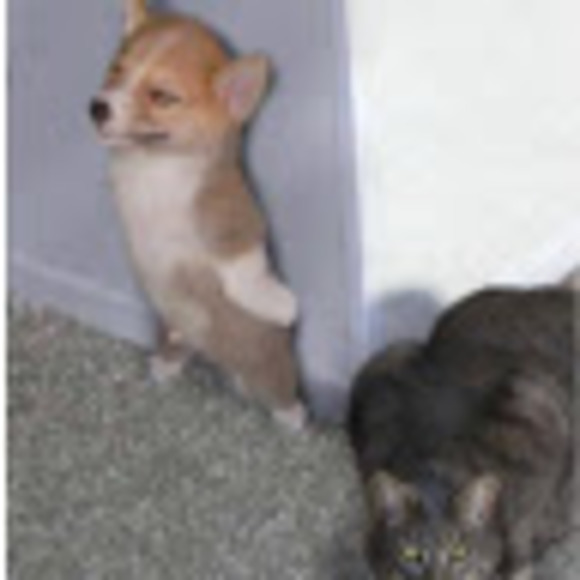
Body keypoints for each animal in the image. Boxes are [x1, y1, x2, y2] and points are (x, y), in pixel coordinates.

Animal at [348, 284, 576, 580]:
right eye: (410, 554)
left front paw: (516, 561)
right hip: (392, 354)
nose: (436, 577)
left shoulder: (537, 405)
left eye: (459, 554)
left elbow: (524, 524)